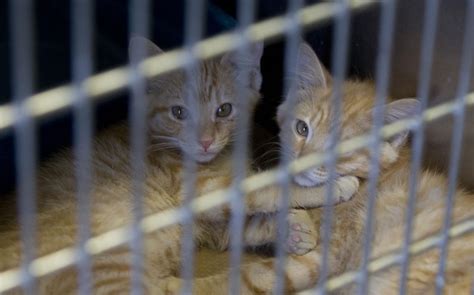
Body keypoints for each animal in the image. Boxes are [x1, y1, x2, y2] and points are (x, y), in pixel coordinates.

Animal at [0, 38, 360, 294]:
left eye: (224, 110)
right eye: (178, 113)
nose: (204, 142)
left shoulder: (215, 222)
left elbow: (245, 222)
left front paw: (293, 229)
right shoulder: (206, 190)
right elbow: (269, 187)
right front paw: (333, 187)